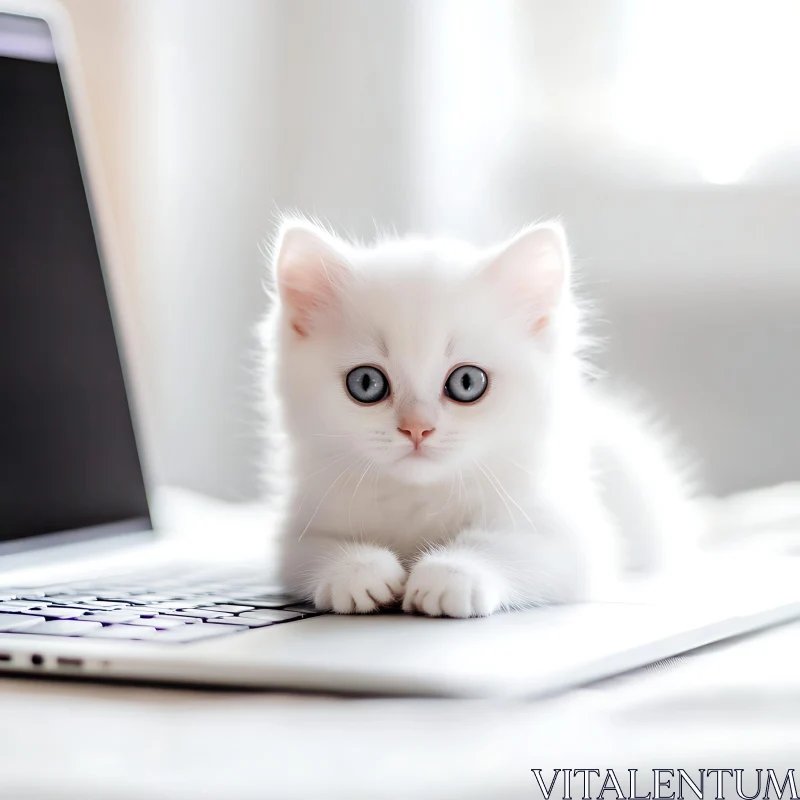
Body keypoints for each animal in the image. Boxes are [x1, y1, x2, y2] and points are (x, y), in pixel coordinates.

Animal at [260, 219, 696, 620]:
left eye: (467, 382)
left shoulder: (567, 534)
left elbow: (507, 546)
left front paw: (451, 574)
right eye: (366, 383)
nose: (417, 428)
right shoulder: (300, 529)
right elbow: (311, 550)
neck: (420, 496)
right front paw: (357, 571)